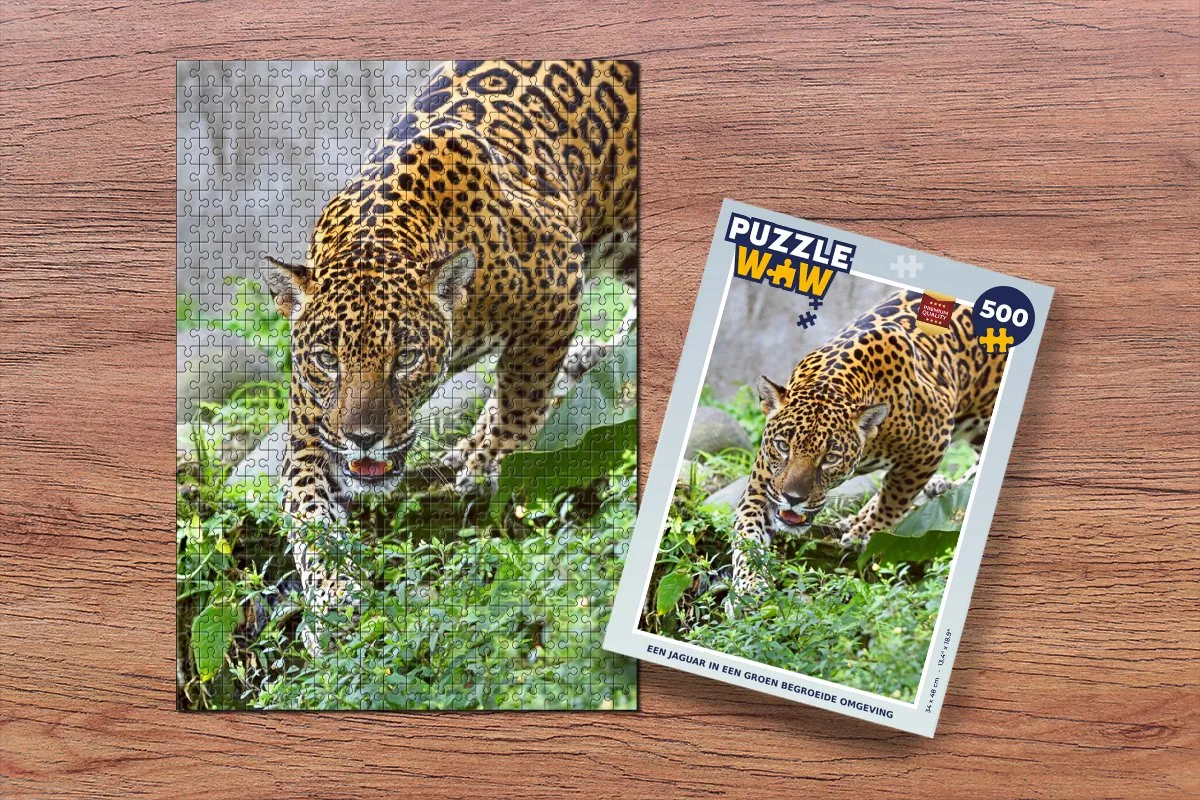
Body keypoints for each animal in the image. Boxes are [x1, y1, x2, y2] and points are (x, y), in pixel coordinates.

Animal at [265, 60, 638, 651]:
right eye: (327, 360)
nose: (363, 438)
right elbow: (309, 517)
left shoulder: (558, 286)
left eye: (405, 357)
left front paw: (484, 466)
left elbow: (519, 399)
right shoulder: (310, 428)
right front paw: (334, 605)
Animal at [728, 289, 1005, 605]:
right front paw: (748, 588)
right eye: (783, 446)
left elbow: (895, 496)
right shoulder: (764, 483)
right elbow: (747, 533)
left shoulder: (931, 443)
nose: (793, 498)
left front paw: (866, 531)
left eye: (830, 458)